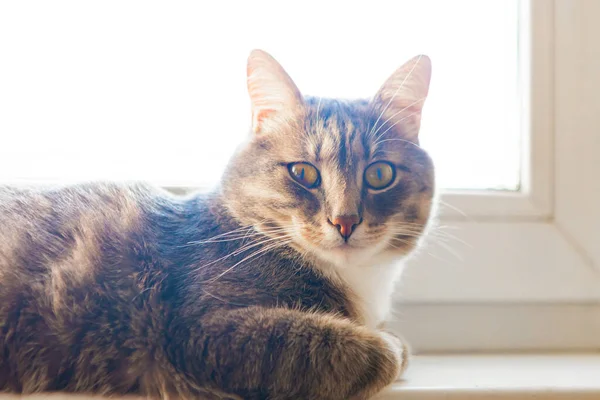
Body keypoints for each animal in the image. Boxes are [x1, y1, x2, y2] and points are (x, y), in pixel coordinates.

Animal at [0, 50, 434, 400]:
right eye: (303, 173)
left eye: (380, 174)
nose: (345, 220)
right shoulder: (205, 330)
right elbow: (364, 350)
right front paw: (389, 346)